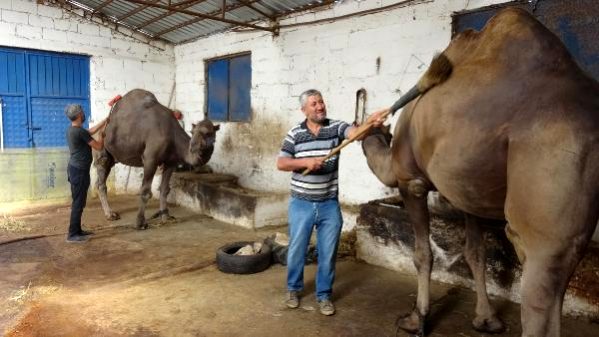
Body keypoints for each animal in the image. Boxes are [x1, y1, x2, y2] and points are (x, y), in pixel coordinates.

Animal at [95, 88, 220, 228]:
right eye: (192, 132)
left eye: (208, 133)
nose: (194, 147)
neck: (172, 134)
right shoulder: (150, 160)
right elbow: (145, 191)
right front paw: (140, 222)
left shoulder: (171, 163)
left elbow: (164, 189)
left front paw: (165, 217)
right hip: (101, 149)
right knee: (101, 180)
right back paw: (110, 214)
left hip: (112, 156)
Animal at [360, 7, 599, 336]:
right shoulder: (468, 190)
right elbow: (476, 253)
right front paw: (486, 319)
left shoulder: (411, 180)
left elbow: (422, 254)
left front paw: (416, 319)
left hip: (555, 156)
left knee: (540, 288)